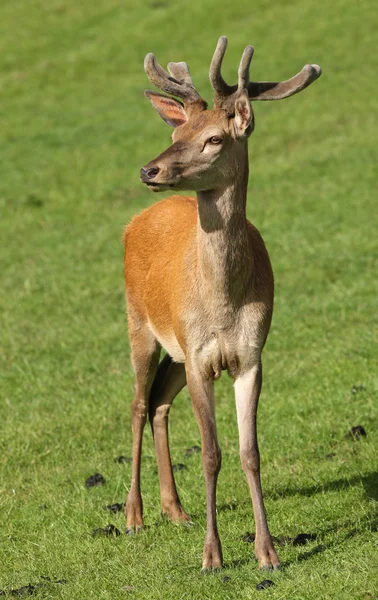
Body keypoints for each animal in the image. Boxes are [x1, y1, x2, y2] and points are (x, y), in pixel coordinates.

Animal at [124, 37, 322, 572]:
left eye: (214, 138)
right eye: (178, 130)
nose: (149, 169)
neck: (224, 305)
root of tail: (139, 218)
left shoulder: (249, 356)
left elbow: (250, 453)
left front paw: (268, 553)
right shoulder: (199, 358)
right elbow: (211, 453)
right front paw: (212, 558)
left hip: (175, 350)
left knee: (158, 404)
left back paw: (175, 510)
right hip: (139, 325)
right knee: (136, 404)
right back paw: (134, 516)